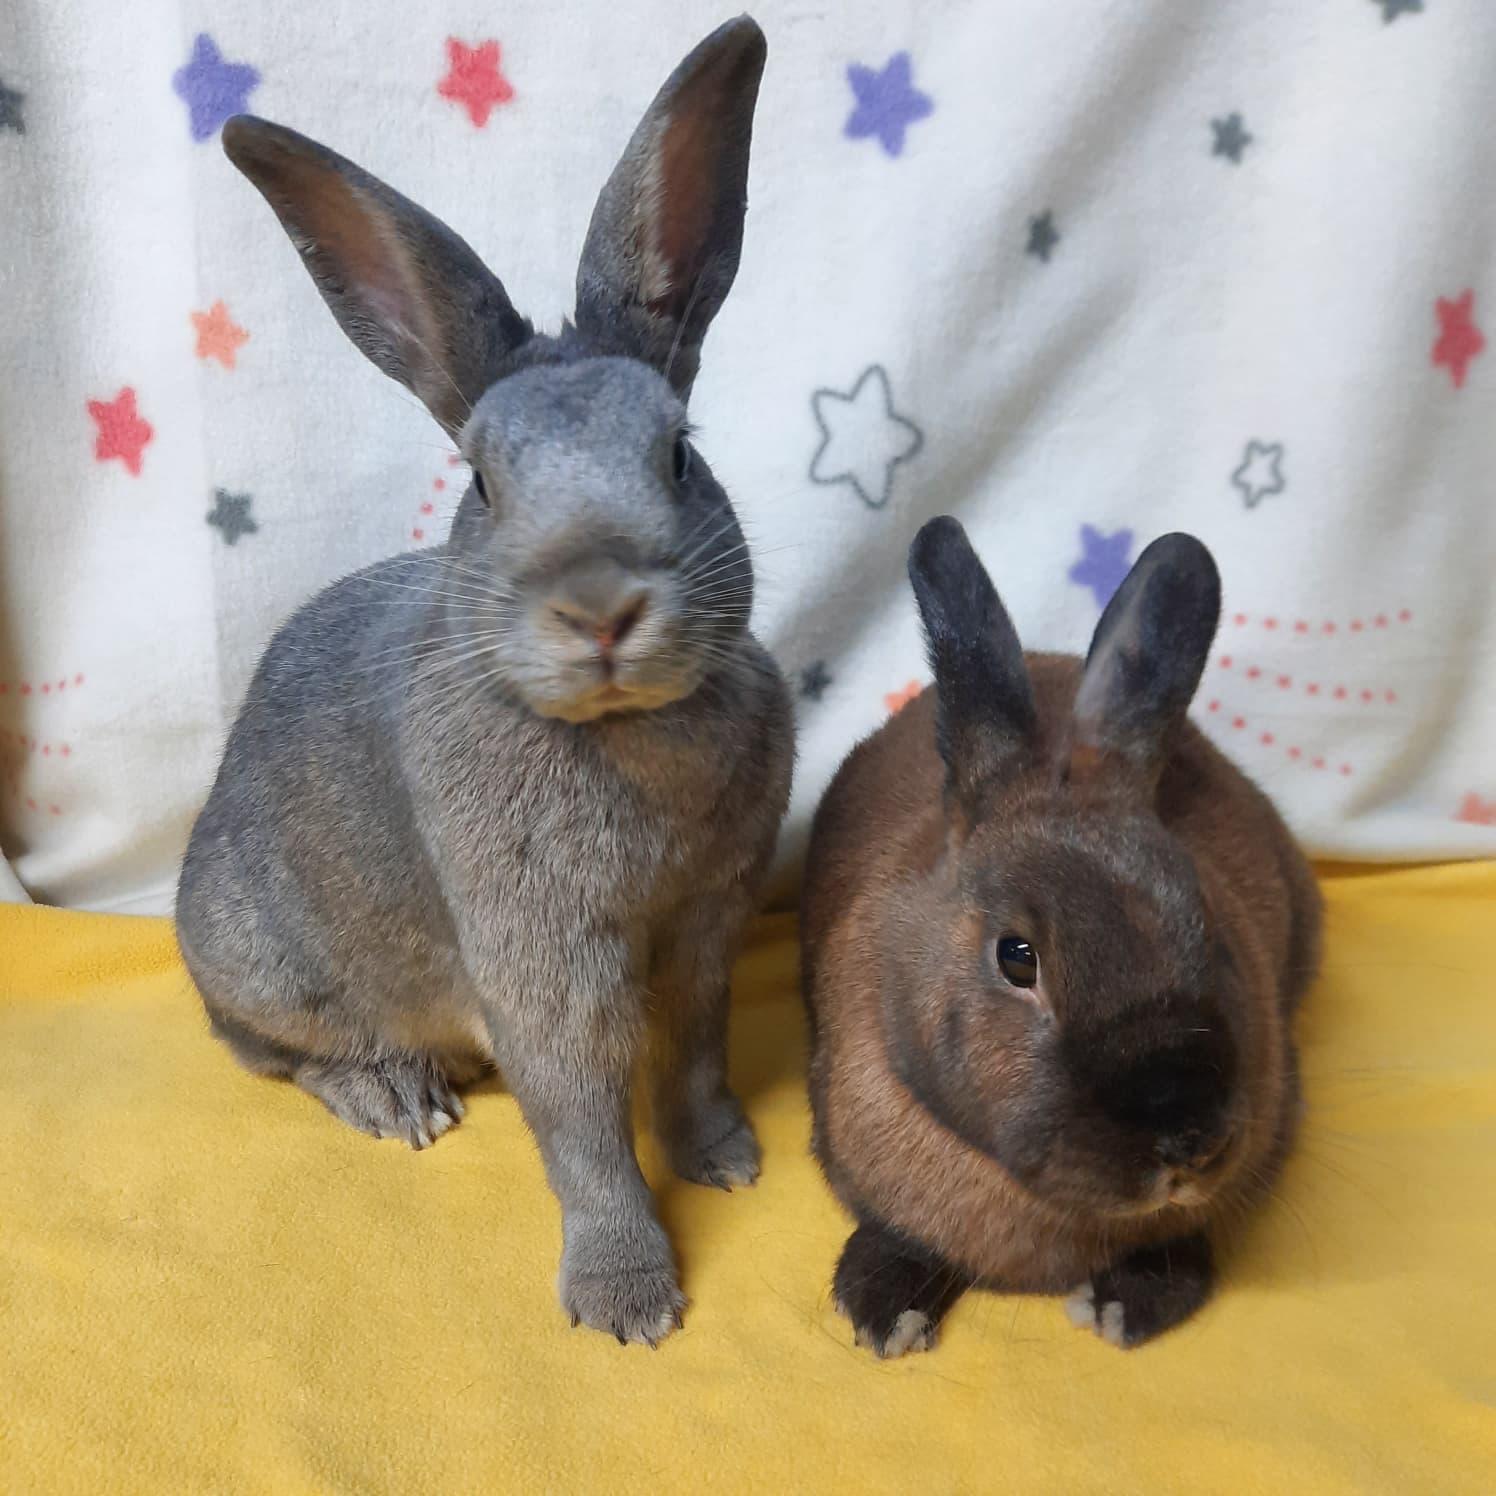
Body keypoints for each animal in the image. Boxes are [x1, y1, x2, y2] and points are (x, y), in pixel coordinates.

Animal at [175, 17, 793, 1346]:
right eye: (482, 482)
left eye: (679, 453)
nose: (599, 606)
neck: (620, 731)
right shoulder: (541, 961)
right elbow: (582, 1126)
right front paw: (626, 1299)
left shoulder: (708, 922)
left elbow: (698, 1048)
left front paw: (724, 1156)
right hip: (261, 956)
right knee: (267, 1049)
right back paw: (396, 1097)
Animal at [800, 517, 1321, 1357]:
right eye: (1018, 957)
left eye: (1208, 925)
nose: (1186, 1144)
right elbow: (897, 1233)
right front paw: (882, 1312)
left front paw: (1128, 1304)